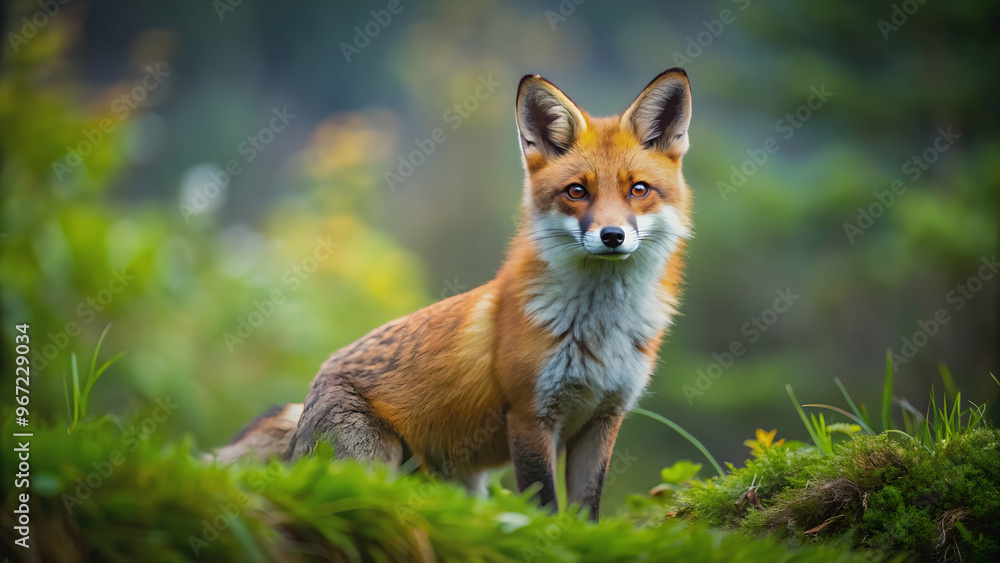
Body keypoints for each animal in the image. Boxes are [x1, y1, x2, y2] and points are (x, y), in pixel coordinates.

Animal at [218, 67, 694, 520]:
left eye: (638, 189)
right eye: (577, 191)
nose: (612, 236)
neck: (599, 329)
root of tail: (307, 401)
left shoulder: (603, 420)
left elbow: (587, 513)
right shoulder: (529, 417)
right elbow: (544, 508)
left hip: (461, 485)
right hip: (371, 462)